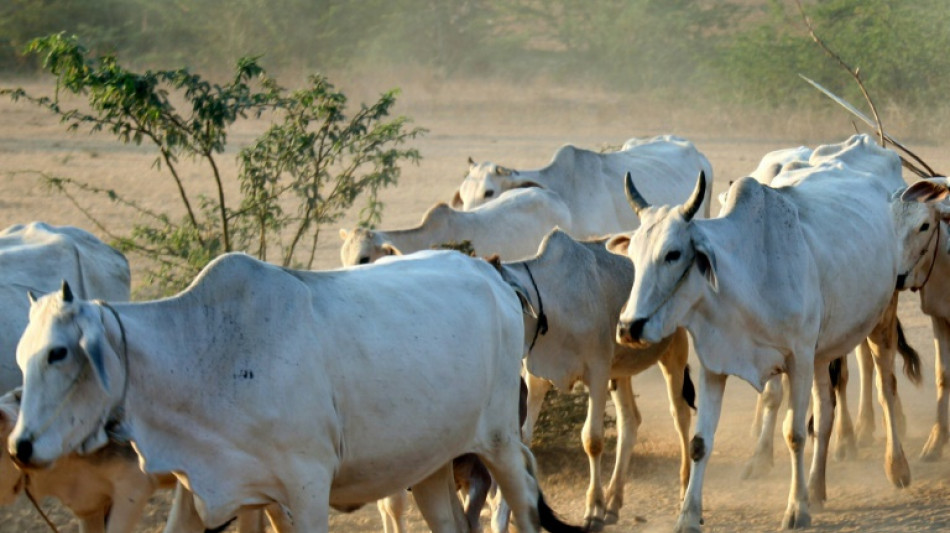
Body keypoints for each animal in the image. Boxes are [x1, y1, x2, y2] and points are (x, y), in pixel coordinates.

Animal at [9, 250, 580, 532]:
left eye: (58, 353)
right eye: (21, 357)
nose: (20, 446)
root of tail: (491, 272)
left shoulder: (307, 488)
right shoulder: (206, 490)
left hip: (500, 442)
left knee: (525, 509)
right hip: (430, 464)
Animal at [490, 230, 692, 532]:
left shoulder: (597, 372)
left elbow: (592, 439)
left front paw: (593, 509)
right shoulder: (536, 378)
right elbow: (523, 438)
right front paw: (506, 514)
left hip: (673, 351)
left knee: (681, 416)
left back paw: (683, 490)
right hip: (619, 370)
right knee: (629, 421)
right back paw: (614, 502)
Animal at [608, 135, 924, 528]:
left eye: (673, 253)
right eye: (633, 254)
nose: (628, 327)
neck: (747, 274)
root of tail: (865, 143)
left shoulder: (797, 360)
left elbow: (796, 433)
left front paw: (796, 509)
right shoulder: (715, 364)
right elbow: (700, 442)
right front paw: (688, 516)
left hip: (880, 319)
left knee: (885, 386)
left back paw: (897, 467)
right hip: (822, 350)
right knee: (826, 410)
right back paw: (817, 487)